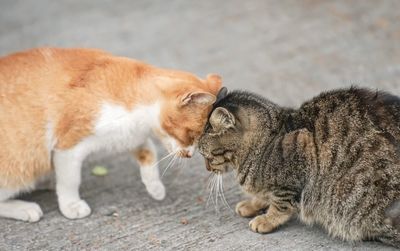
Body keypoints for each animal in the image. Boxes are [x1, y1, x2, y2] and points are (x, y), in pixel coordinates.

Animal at [0, 47, 222, 222]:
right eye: (191, 134)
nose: (189, 154)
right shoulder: (69, 145)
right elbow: (70, 179)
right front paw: (71, 205)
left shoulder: (129, 136)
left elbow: (148, 152)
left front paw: (155, 187)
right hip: (18, 166)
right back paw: (25, 208)